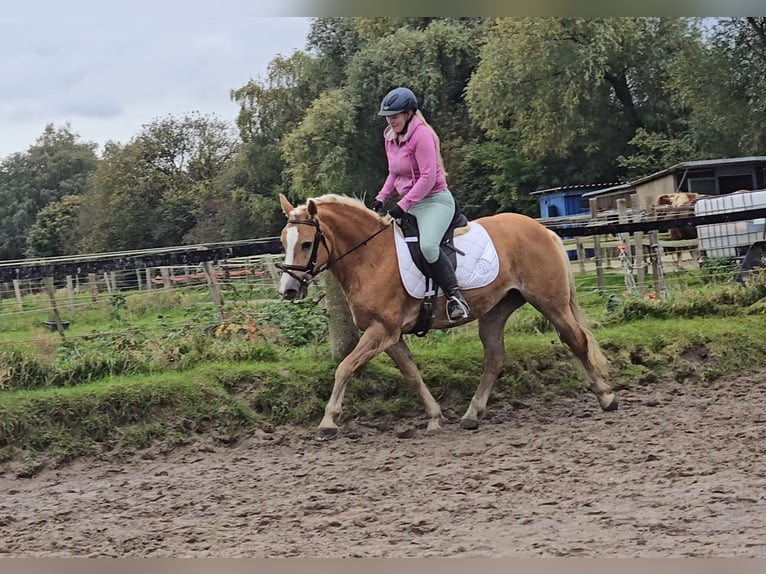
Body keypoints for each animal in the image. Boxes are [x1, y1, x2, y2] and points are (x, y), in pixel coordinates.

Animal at [276, 194, 616, 440]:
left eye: (307, 243)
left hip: (550, 303)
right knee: (495, 357)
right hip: (496, 309)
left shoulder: (381, 330)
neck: (370, 257)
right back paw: (471, 415)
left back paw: (606, 397)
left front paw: (328, 421)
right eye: (283, 242)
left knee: (576, 340)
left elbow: (344, 367)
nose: (288, 290)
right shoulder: (390, 336)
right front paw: (435, 416)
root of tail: (542, 229)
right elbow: (412, 375)